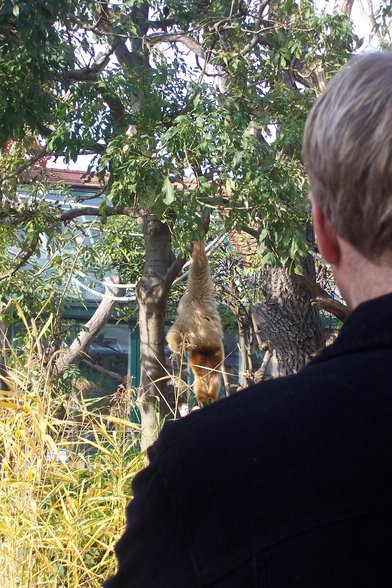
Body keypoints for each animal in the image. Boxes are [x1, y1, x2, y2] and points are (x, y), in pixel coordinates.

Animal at [167, 241, 225, 406]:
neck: (196, 300)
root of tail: (206, 346)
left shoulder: (185, 312)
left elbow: (174, 335)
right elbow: (201, 264)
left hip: (200, 352)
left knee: (202, 375)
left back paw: (204, 398)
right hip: (215, 351)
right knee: (213, 374)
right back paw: (210, 396)